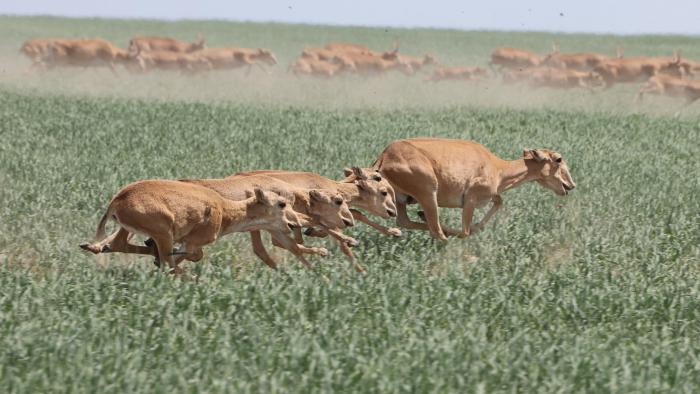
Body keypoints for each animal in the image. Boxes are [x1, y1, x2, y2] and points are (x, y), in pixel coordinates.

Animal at [80, 179, 300, 274]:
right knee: (167, 263)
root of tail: (117, 200)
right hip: (164, 231)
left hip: (132, 229)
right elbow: (193, 255)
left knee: (118, 243)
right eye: (281, 203)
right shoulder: (193, 241)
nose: (294, 224)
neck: (224, 210)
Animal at [231, 165, 400, 270]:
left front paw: (393, 231)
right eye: (384, 191)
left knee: (266, 247)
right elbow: (342, 241)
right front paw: (362, 271)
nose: (393, 212)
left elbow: (355, 215)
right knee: (267, 246)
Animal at [374, 137, 576, 242]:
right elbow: (465, 231)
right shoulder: (471, 198)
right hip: (428, 193)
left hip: (400, 200)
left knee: (404, 221)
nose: (571, 185)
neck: (498, 168)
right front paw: (473, 229)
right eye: (558, 159)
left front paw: (479, 226)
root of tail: (383, 157)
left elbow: (499, 201)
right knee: (436, 230)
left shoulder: (488, 195)